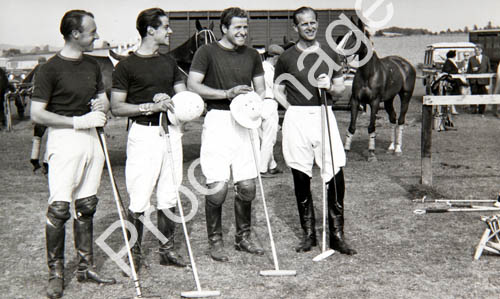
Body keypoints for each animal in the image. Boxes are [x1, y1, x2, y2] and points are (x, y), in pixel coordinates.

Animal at [340, 21, 418, 162]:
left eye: (354, 39)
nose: (338, 54)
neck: (368, 73)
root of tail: (406, 65)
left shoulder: (374, 102)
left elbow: (371, 127)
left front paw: (371, 153)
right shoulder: (355, 101)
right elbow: (351, 127)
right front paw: (346, 151)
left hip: (405, 96)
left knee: (401, 120)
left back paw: (398, 149)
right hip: (388, 100)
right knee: (392, 118)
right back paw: (391, 147)